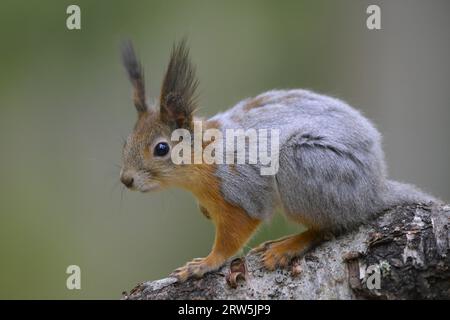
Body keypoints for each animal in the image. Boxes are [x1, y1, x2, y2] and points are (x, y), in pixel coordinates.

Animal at [118, 40, 436, 282]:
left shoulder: (240, 191)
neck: (204, 157)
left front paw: (205, 263)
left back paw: (289, 245)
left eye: (161, 148)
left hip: (302, 165)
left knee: (329, 227)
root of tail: (375, 189)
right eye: (126, 141)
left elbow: (233, 235)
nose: (126, 180)